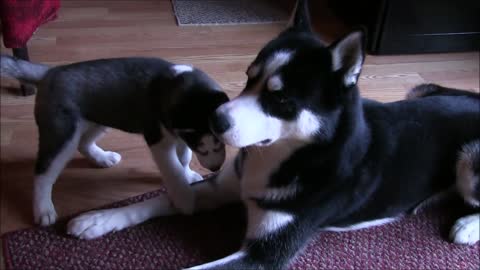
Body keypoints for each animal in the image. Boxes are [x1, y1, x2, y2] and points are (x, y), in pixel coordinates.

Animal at [0, 56, 229, 227]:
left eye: (220, 141)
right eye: (202, 146)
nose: (215, 168)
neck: (176, 83)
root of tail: (49, 72)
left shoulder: (178, 135)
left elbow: (184, 157)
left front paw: (188, 174)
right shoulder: (158, 138)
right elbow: (173, 168)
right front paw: (183, 196)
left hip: (97, 120)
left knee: (83, 144)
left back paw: (102, 158)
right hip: (62, 134)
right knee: (43, 173)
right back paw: (43, 209)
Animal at [64, 1, 480, 268]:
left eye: (279, 98)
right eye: (249, 77)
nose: (214, 119)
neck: (289, 157)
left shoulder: (266, 253)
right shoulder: (227, 185)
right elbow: (167, 197)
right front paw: (100, 219)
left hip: (469, 159)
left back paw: (467, 226)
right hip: (421, 90)